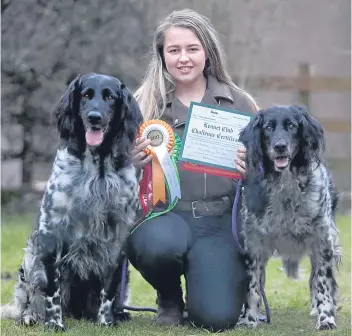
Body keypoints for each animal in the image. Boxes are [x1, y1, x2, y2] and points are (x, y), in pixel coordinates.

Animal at [236, 105, 340, 330]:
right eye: (268, 127)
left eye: (292, 126)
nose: (280, 146)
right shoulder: (254, 243)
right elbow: (253, 286)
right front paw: (248, 318)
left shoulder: (322, 241)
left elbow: (322, 283)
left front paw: (326, 317)